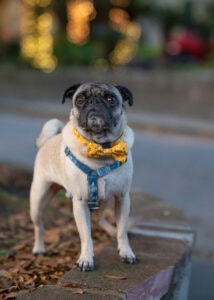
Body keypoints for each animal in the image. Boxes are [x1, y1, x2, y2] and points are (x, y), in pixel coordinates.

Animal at [30, 82, 136, 272]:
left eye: (111, 99)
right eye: (79, 99)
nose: (94, 101)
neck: (101, 149)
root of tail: (48, 140)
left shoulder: (122, 198)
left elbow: (122, 230)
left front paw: (126, 252)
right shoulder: (80, 202)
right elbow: (86, 235)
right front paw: (86, 259)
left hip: (104, 199)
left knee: (101, 219)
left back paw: (111, 231)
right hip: (37, 199)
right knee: (39, 226)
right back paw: (39, 248)